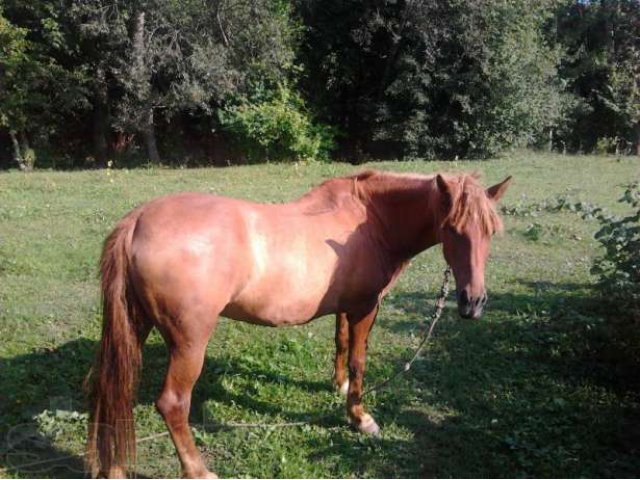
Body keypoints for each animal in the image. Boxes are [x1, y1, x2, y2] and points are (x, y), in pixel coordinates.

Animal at [87, 169, 512, 476]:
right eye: (452, 230)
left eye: (491, 231)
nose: (473, 303)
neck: (371, 220)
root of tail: (138, 220)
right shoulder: (364, 308)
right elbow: (359, 362)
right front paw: (361, 419)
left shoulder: (346, 308)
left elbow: (341, 345)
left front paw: (339, 387)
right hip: (190, 342)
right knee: (173, 404)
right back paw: (199, 470)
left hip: (135, 327)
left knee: (113, 388)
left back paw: (113, 467)